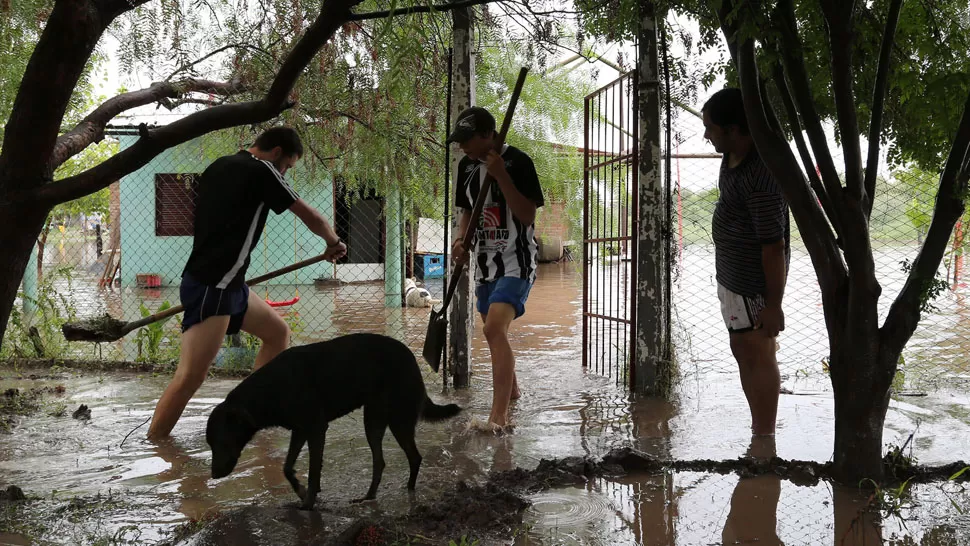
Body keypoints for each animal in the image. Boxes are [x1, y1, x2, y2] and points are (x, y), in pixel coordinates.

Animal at [204, 332, 462, 510]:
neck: (270, 389)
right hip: (374, 421)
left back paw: (408, 490)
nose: (213, 475)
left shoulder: (316, 429)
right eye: (210, 444)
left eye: (222, 442)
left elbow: (313, 470)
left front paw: (308, 503)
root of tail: (413, 363)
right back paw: (368, 497)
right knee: (380, 462)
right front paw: (301, 491)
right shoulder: (300, 430)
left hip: (398, 420)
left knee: (414, 457)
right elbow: (287, 467)